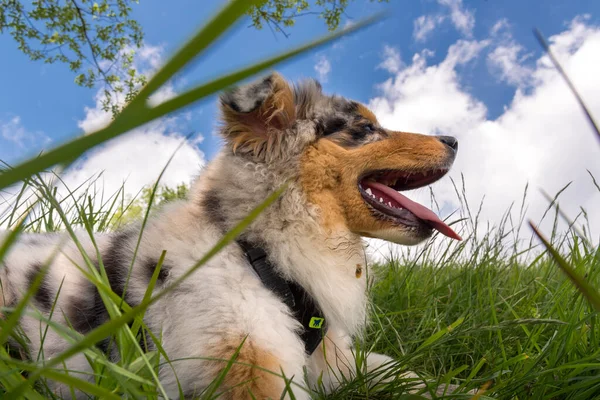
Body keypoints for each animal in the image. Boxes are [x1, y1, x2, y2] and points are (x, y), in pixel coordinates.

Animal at [0, 73, 462, 398]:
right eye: (365, 129)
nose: (455, 139)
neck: (255, 254)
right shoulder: (248, 366)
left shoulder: (334, 361)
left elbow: (402, 371)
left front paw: (464, 388)